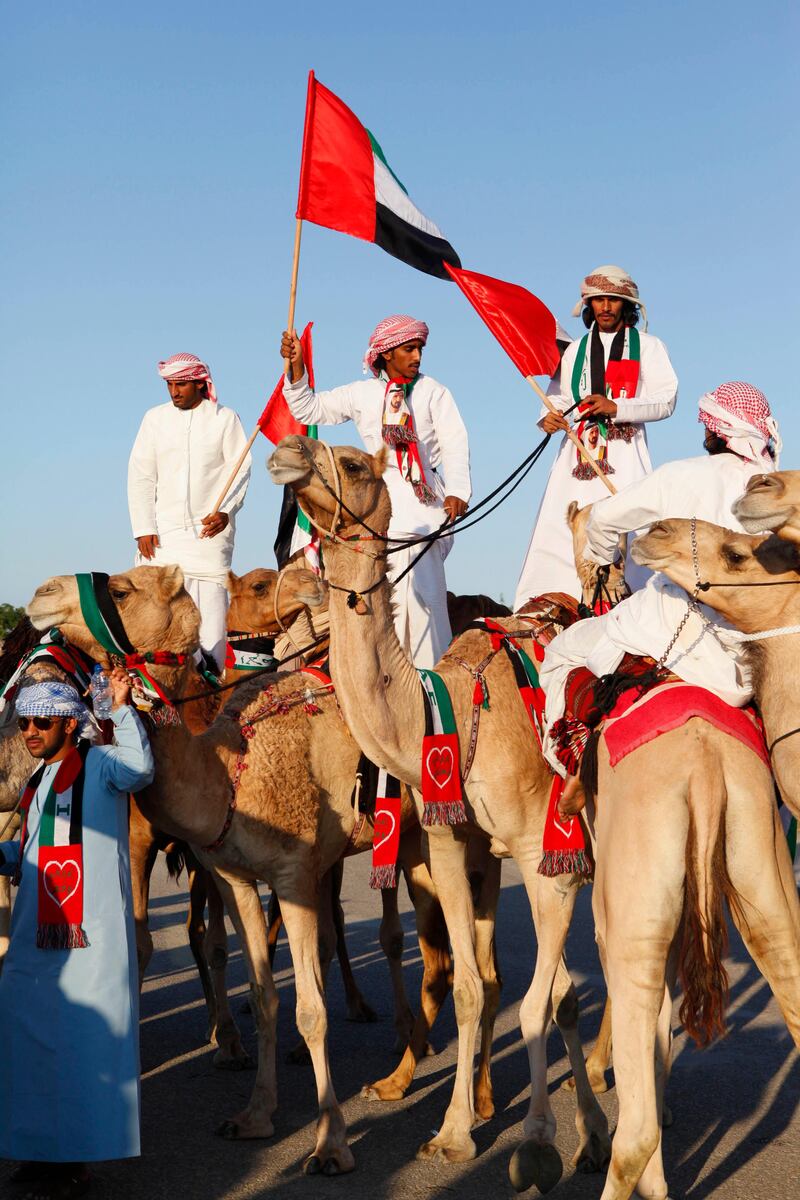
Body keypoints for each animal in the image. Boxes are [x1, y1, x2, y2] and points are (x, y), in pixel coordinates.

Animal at [266, 436, 618, 1185]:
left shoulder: (545, 856)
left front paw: (544, 1137)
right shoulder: (454, 848)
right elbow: (476, 988)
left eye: (356, 464)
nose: (287, 451)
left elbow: (546, 1000)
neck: (449, 710)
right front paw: (456, 1133)